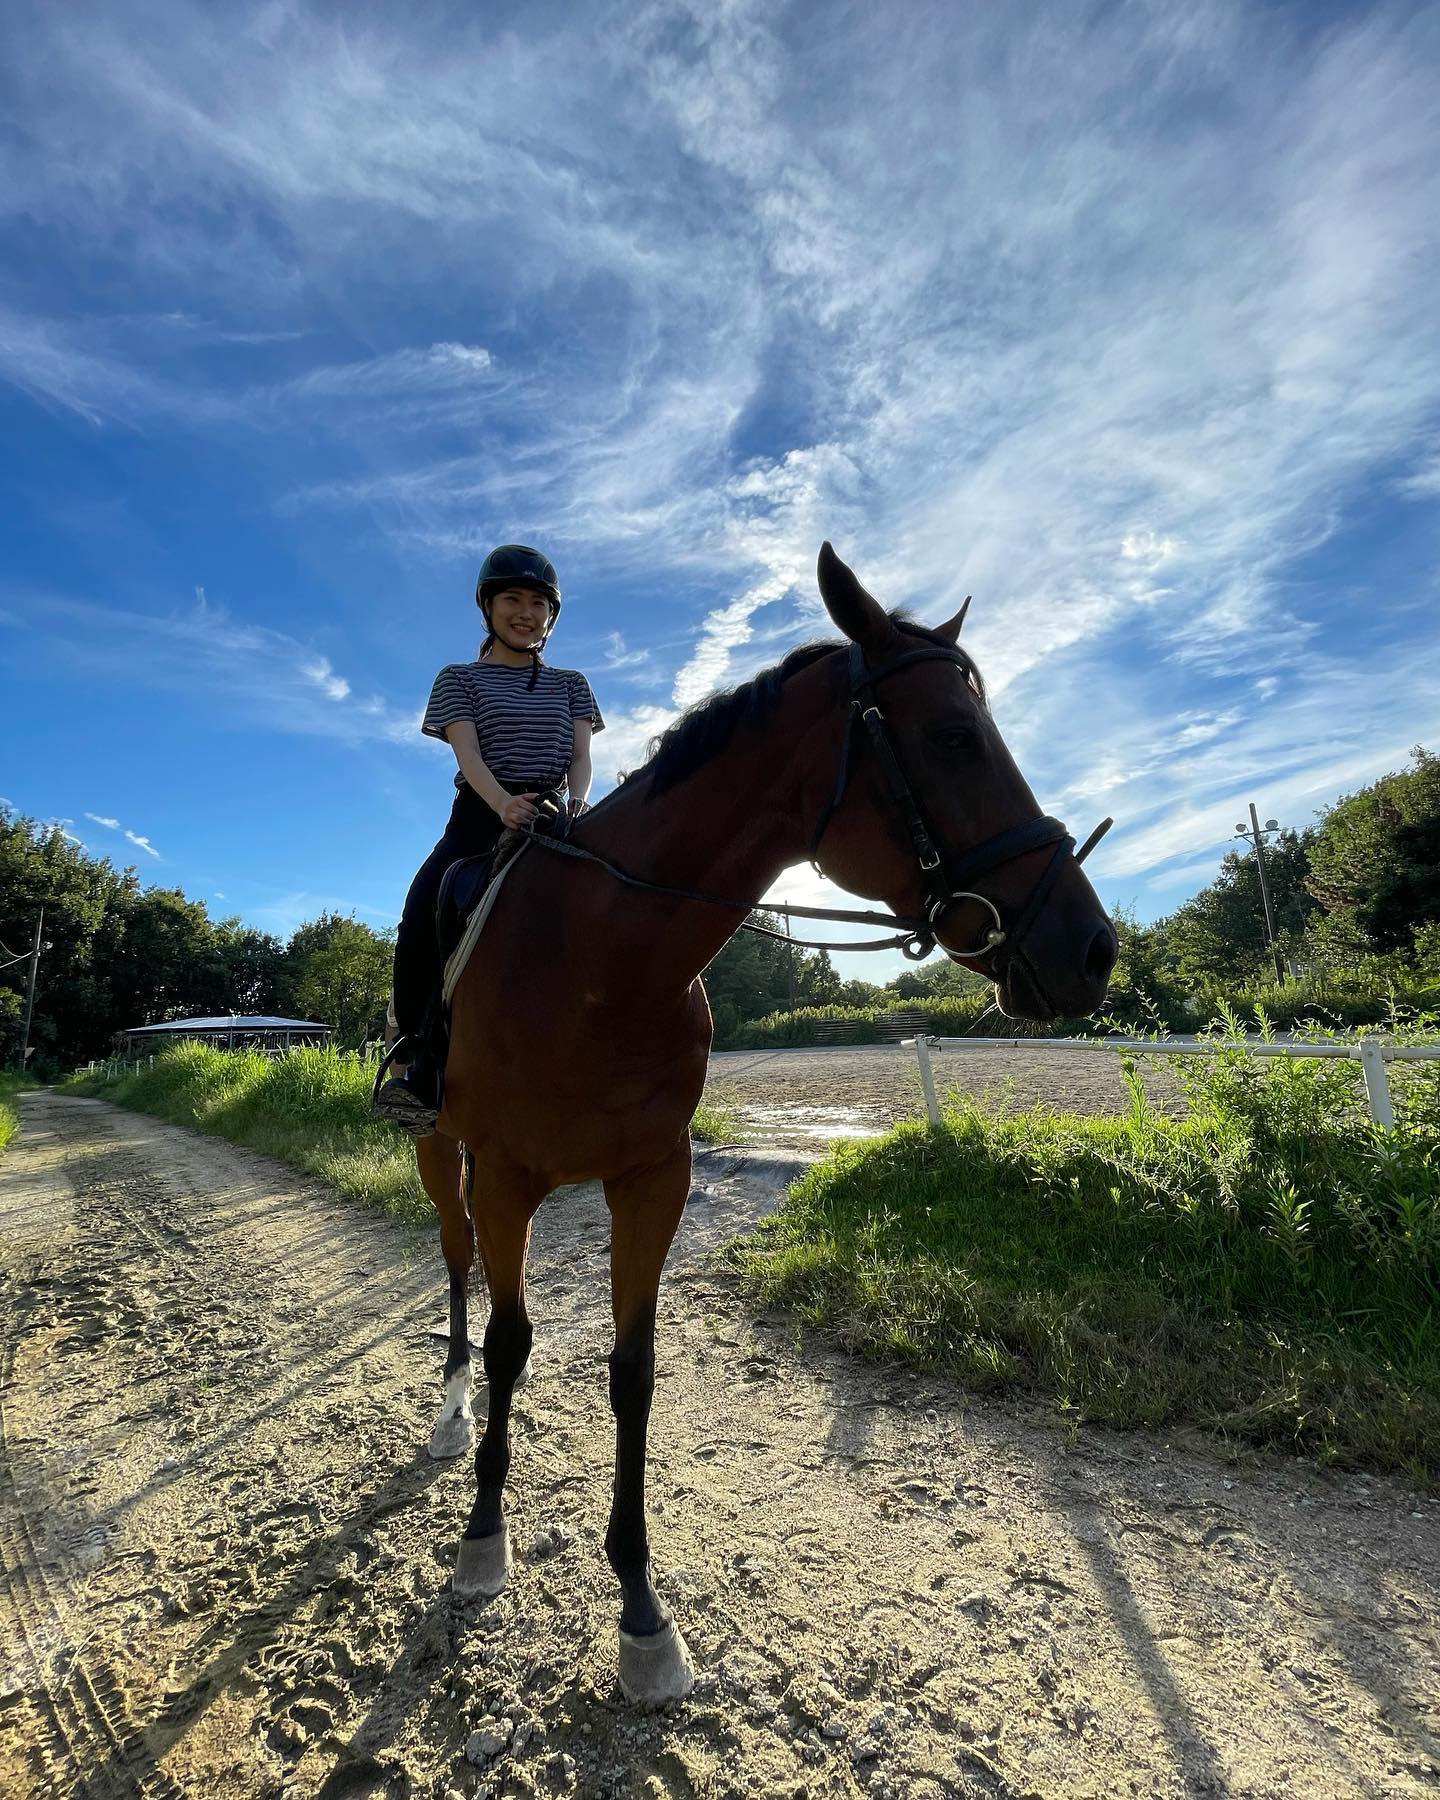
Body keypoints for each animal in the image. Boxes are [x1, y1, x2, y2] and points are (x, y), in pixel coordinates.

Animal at [410, 543, 1116, 1699]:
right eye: (953, 737)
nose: (1092, 950)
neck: (600, 954)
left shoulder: (655, 1177)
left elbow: (633, 1371)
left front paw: (642, 1612)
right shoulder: (509, 1172)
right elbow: (515, 1341)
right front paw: (482, 1538)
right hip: (441, 1150)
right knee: (461, 1265)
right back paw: (450, 1408)